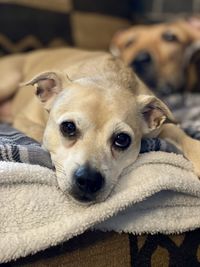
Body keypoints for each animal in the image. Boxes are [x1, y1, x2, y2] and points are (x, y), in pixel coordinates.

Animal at [0, 47, 200, 204]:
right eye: (68, 127)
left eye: (122, 139)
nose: (88, 180)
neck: (106, 77)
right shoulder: (23, 119)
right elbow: (38, 131)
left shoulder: (161, 127)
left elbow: (180, 134)